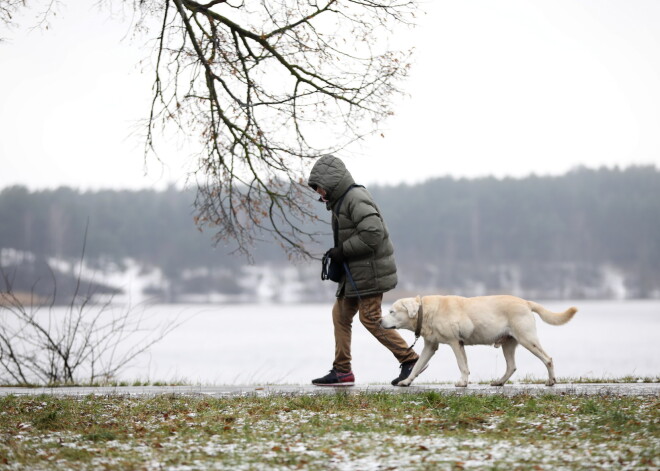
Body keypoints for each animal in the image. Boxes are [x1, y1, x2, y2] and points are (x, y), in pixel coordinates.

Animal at [382, 296, 576, 390]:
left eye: (392, 311)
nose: (378, 321)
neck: (427, 311)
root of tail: (526, 302)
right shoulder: (430, 346)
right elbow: (417, 366)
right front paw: (406, 382)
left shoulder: (455, 342)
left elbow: (462, 365)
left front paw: (462, 383)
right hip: (508, 343)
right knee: (511, 366)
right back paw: (499, 382)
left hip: (527, 339)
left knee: (548, 359)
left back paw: (551, 381)